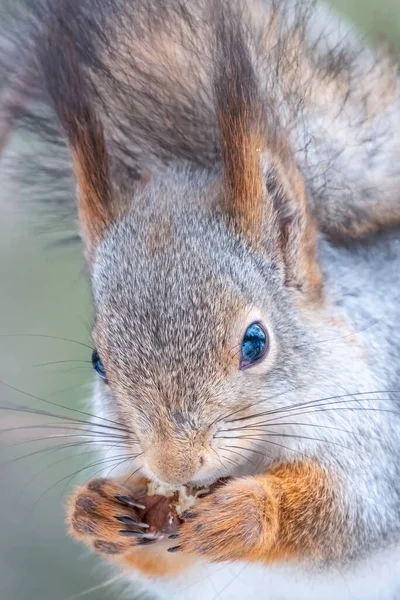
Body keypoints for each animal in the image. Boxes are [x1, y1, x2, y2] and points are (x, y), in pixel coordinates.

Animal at [3, 1, 400, 600]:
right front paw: (91, 509)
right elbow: (164, 560)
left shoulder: (381, 438)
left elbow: (348, 511)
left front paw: (246, 513)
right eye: (98, 362)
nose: (175, 464)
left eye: (256, 342)